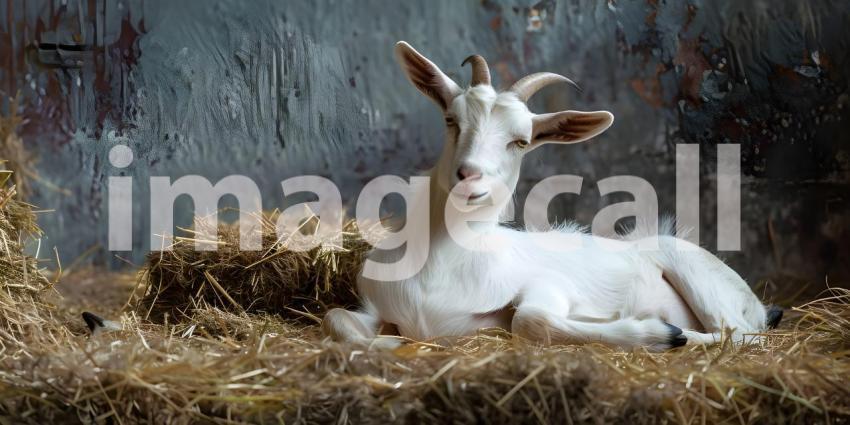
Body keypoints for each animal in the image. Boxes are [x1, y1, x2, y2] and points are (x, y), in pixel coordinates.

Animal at [322, 41, 782, 351]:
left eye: (521, 141)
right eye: (452, 119)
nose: (469, 176)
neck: (441, 265)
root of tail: (759, 303)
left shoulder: (549, 287)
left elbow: (528, 319)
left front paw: (660, 332)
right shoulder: (374, 304)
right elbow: (335, 318)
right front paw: (390, 344)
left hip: (698, 277)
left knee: (740, 334)